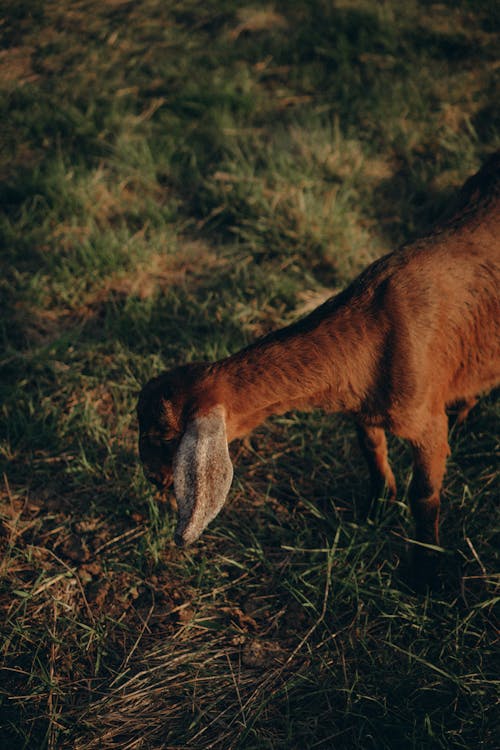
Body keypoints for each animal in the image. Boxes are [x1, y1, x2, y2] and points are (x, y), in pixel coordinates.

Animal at [138, 153, 500, 588]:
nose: (152, 479)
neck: (376, 326)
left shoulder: (425, 419)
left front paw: (425, 570)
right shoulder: (364, 409)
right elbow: (372, 453)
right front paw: (378, 507)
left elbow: (425, 495)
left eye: (163, 436)